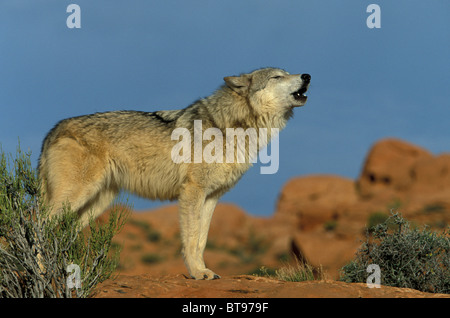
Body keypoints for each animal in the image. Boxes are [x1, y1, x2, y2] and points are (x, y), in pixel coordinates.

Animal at [37, 66, 310, 278]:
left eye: (287, 72)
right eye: (277, 76)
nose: (307, 75)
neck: (231, 127)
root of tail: (53, 129)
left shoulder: (212, 196)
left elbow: (201, 240)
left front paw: (203, 270)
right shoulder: (192, 191)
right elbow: (190, 238)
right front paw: (197, 273)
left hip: (96, 203)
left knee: (62, 233)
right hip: (75, 197)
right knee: (38, 226)